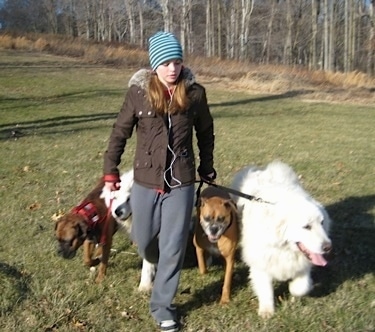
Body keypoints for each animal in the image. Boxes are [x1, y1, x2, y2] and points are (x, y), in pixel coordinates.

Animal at [232, 162, 332, 318]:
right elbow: (265, 289)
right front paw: (267, 311)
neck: (284, 247)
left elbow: (301, 287)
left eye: (322, 223)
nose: (328, 247)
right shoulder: (261, 262)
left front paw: (294, 290)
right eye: (306, 227)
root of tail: (262, 170)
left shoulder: (303, 264)